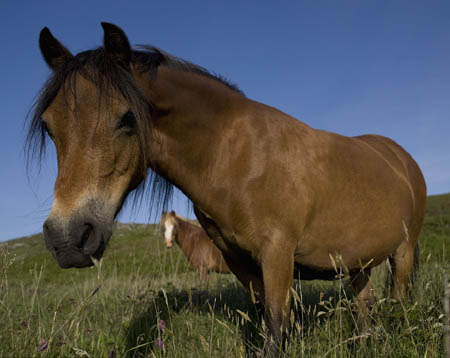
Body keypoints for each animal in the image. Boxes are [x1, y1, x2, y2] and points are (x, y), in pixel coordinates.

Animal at [26, 23, 428, 356]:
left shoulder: (278, 255)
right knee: (366, 306)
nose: (68, 238)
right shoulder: (239, 262)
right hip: (358, 263)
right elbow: (263, 317)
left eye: (127, 118)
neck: (233, 156)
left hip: (403, 252)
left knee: (397, 302)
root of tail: (402, 158)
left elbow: (276, 329)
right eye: (49, 126)